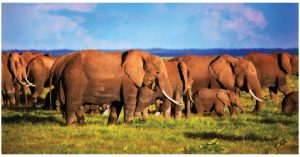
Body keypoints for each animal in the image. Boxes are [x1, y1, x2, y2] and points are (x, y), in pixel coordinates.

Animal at [49, 49, 180, 125]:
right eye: (157, 72)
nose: (155, 87)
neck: (143, 54)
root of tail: (64, 62)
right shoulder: (128, 81)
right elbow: (129, 102)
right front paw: (129, 124)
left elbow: (117, 104)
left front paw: (111, 124)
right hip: (74, 80)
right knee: (73, 102)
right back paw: (70, 125)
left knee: (79, 105)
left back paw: (83, 124)